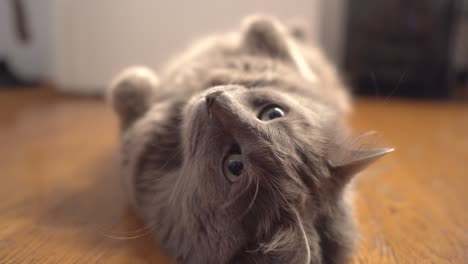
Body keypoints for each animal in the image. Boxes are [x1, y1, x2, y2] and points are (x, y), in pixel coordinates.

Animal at [109, 14, 392, 264]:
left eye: (235, 166)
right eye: (273, 113)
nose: (214, 99)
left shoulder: (134, 159)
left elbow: (129, 98)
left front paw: (134, 82)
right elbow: (266, 28)